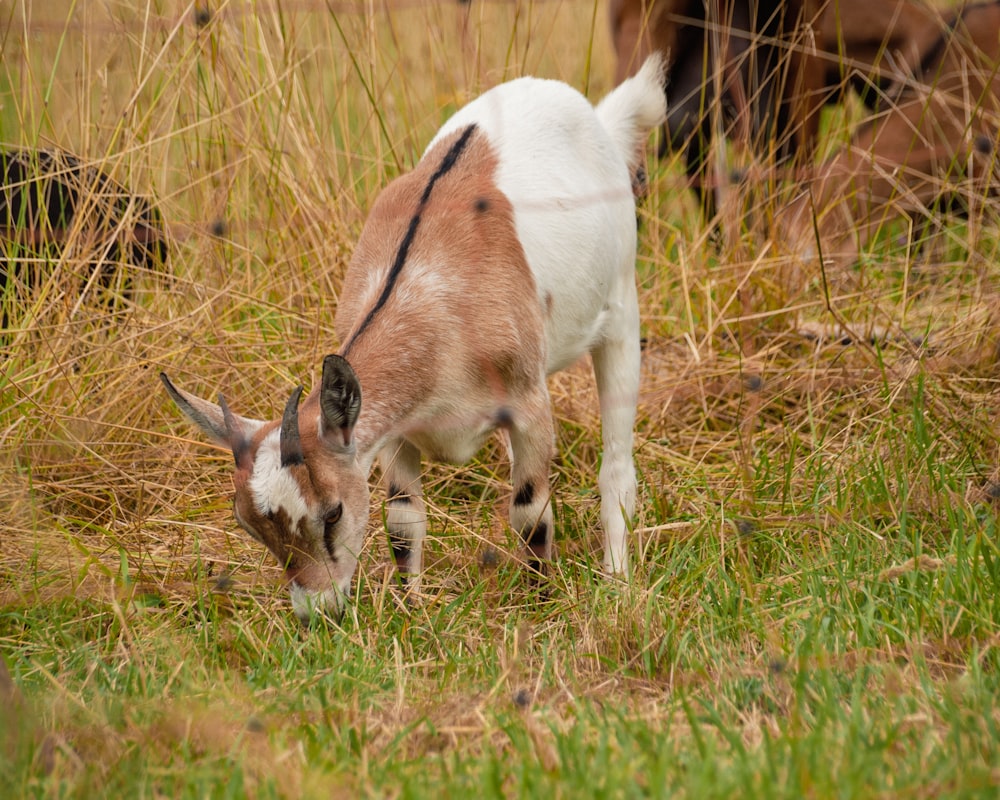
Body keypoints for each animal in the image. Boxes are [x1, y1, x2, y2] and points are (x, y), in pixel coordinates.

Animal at [160, 54, 668, 624]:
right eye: (249, 525)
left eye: (332, 512)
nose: (317, 612)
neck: (435, 297)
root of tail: (597, 118)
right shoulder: (392, 430)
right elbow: (403, 522)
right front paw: (410, 609)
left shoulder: (530, 404)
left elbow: (531, 512)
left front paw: (541, 605)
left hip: (622, 311)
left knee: (616, 466)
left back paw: (619, 582)